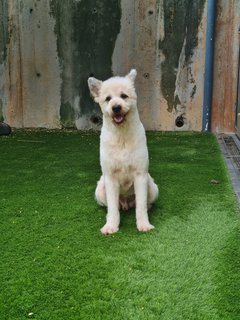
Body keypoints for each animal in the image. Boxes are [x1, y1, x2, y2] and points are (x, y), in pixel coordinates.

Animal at [87, 70, 158, 235]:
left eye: (124, 96)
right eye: (108, 99)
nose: (116, 107)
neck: (122, 137)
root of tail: (126, 202)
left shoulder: (140, 175)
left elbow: (141, 207)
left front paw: (144, 225)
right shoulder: (110, 177)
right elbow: (113, 209)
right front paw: (111, 226)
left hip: (152, 187)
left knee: (143, 203)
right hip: (100, 190)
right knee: (112, 206)